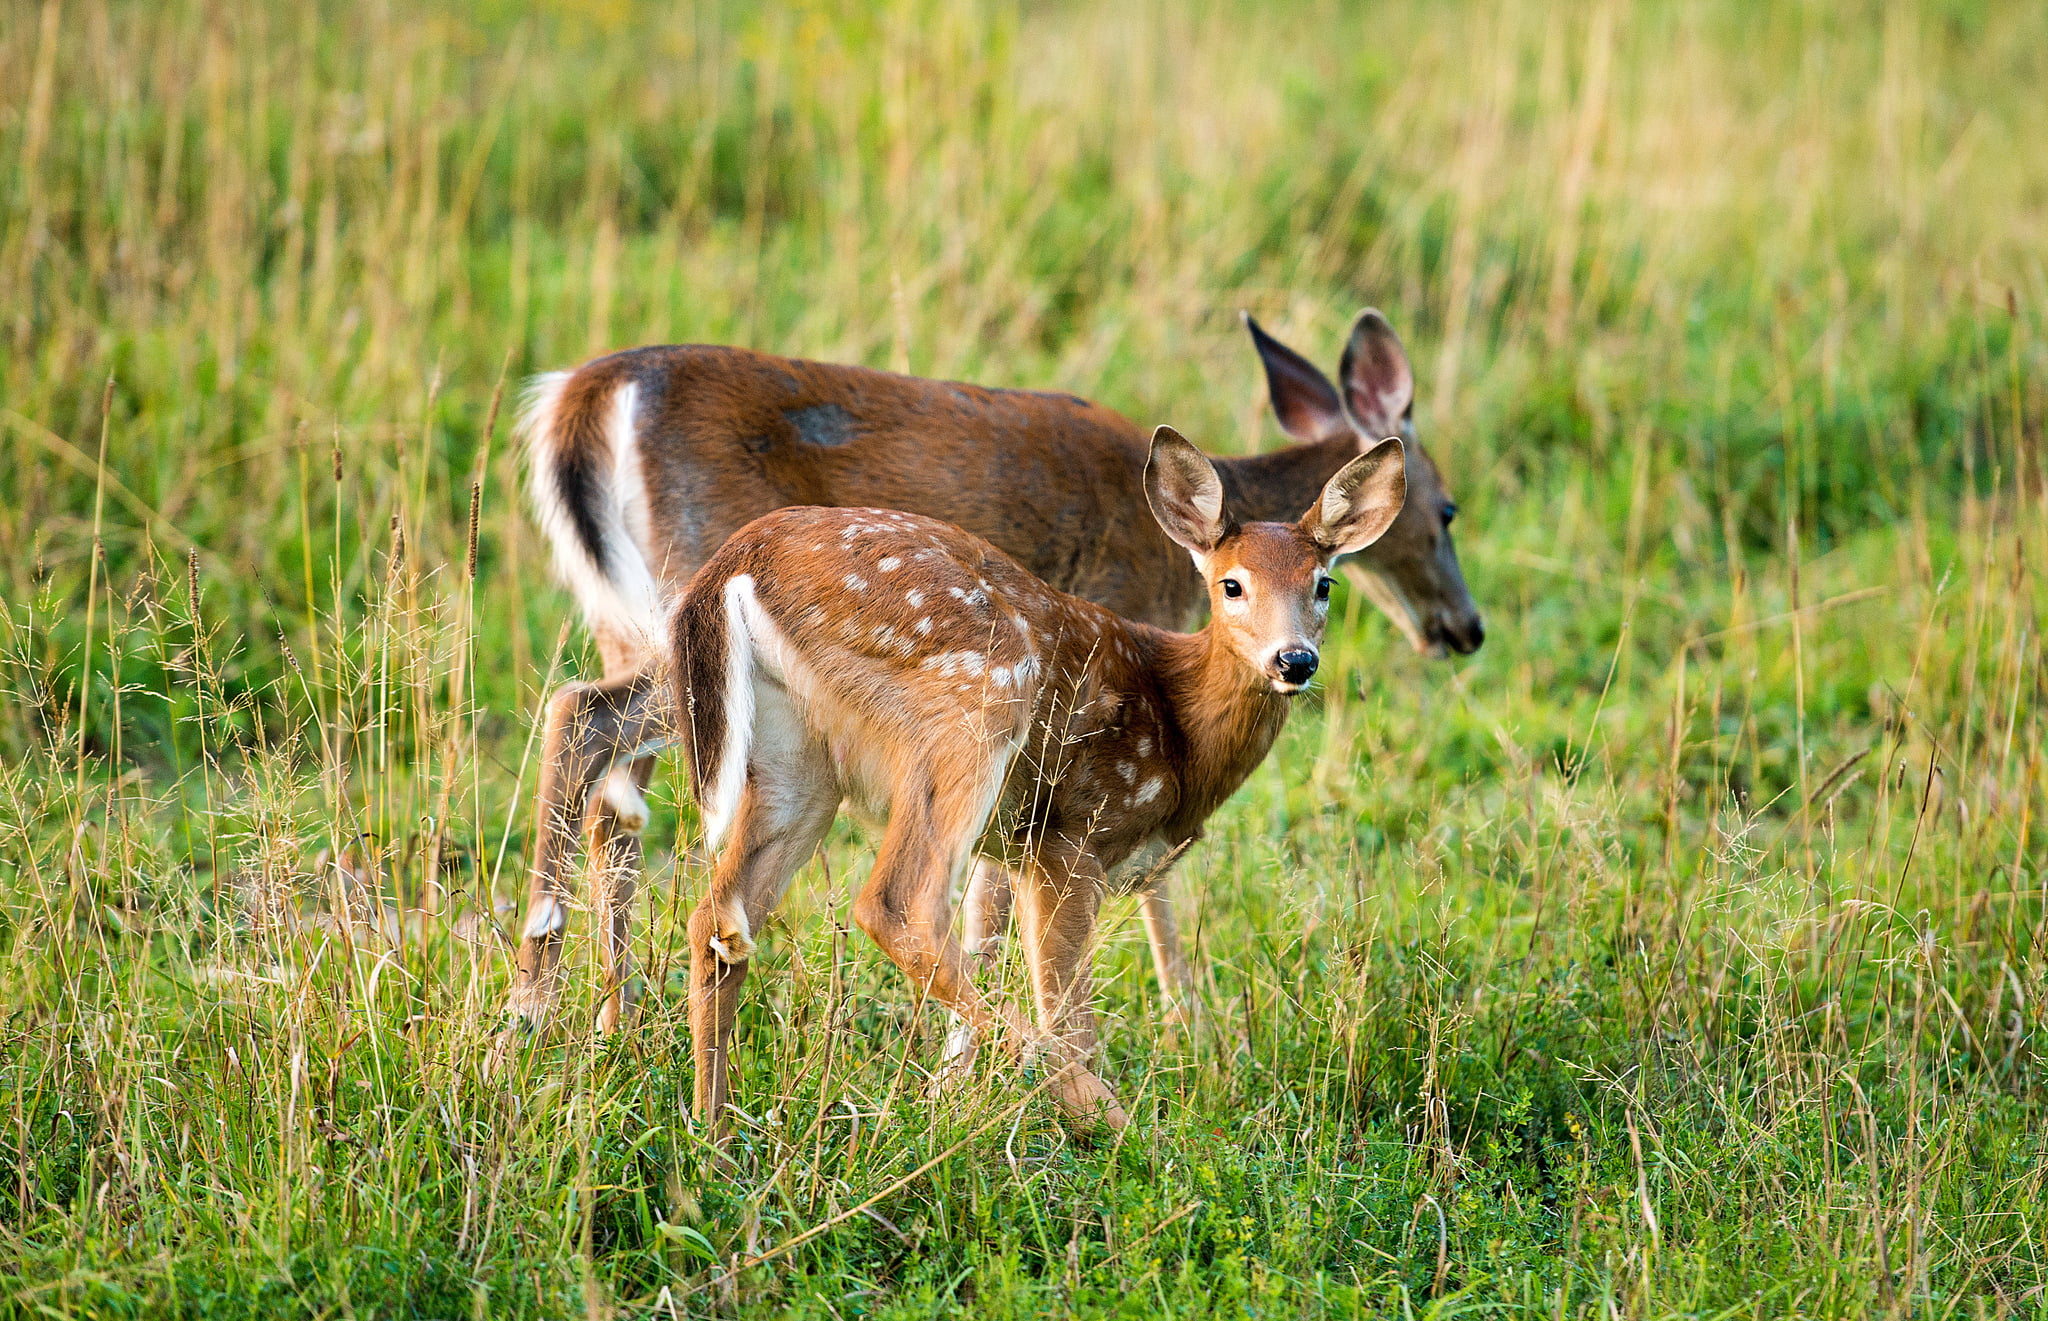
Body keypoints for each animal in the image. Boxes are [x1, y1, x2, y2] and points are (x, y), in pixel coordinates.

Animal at [502, 310, 1480, 1046]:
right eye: (1447, 510)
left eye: (1325, 578)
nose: (1465, 628)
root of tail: (581, 399)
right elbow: (1099, 881)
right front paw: (1190, 1027)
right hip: (694, 608)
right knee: (585, 721)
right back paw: (540, 1005)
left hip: (636, 623)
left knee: (610, 776)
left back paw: (601, 1017)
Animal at [673, 427, 1406, 1135]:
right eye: (1232, 584)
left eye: (1323, 584)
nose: (1295, 660)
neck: (1179, 731)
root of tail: (739, 562)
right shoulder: (1069, 835)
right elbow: (1068, 1010)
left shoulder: (1023, 851)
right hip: (977, 698)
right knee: (897, 904)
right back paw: (1114, 1121)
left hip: (797, 757)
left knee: (720, 918)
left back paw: (714, 1135)